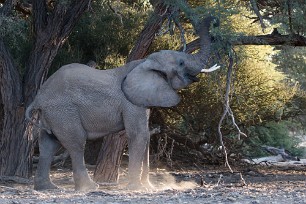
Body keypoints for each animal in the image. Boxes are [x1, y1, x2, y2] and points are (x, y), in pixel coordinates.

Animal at [25, 15, 219, 191]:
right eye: (181, 63)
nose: (214, 20)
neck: (145, 62)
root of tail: (38, 98)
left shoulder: (142, 101)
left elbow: (146, 135)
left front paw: (148, 187)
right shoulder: (130, 103)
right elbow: (139, 134)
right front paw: (137, 188)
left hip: (52, 114)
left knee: (48, 145)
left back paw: (48, 188)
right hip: (63, 112)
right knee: (76, 143)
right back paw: (90, 187)